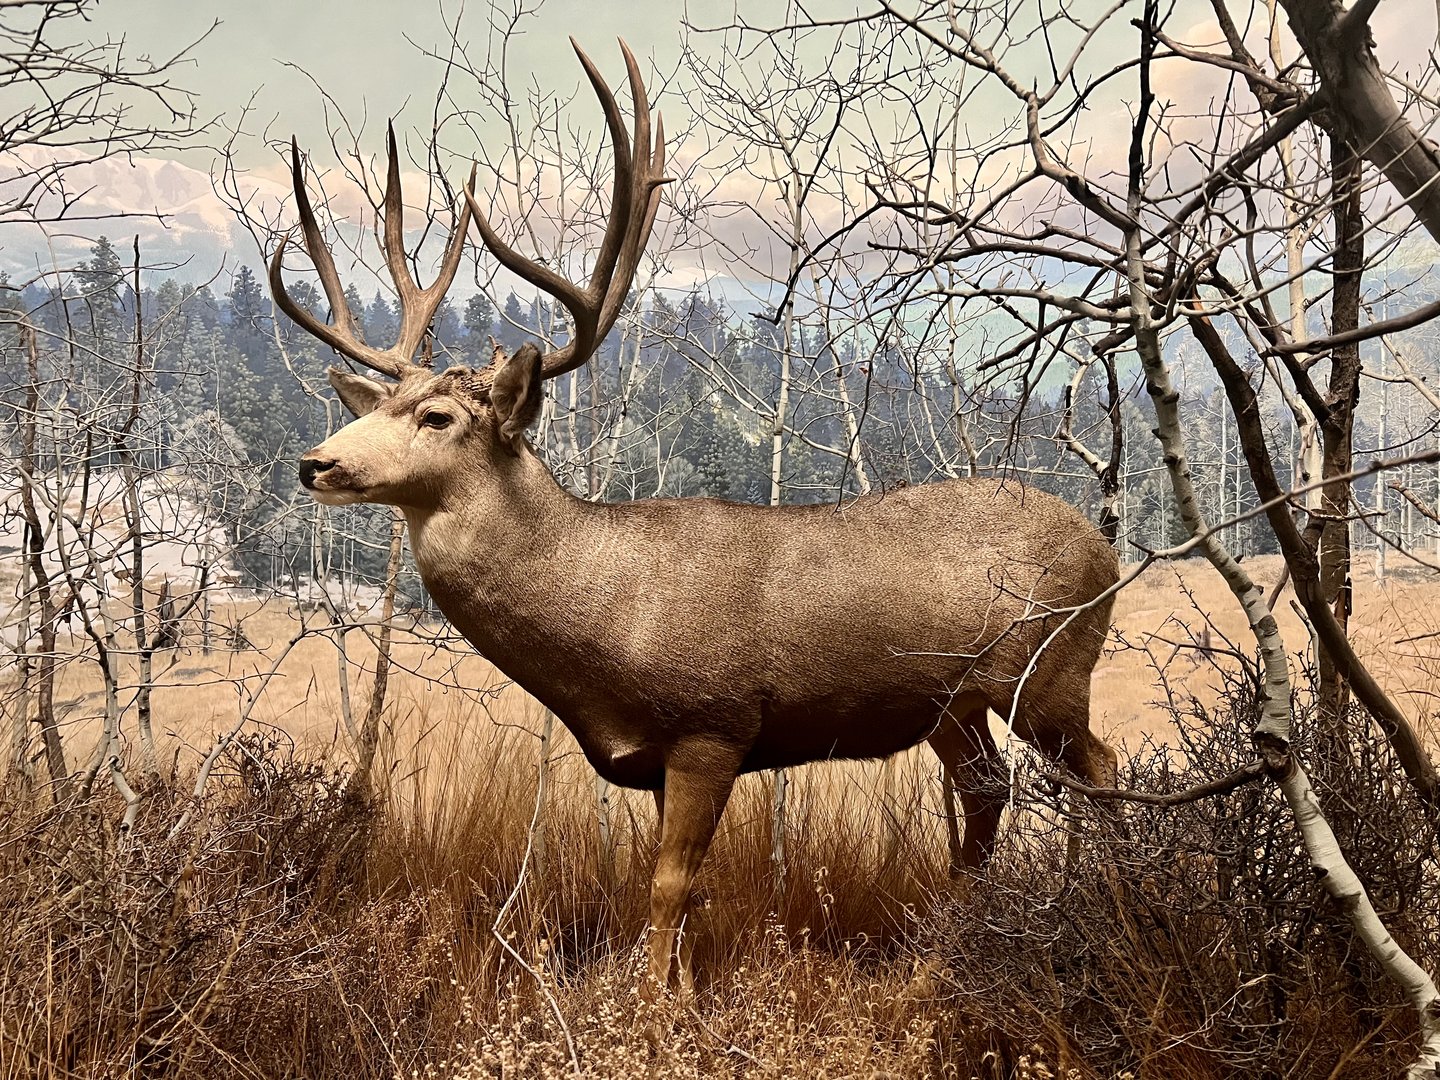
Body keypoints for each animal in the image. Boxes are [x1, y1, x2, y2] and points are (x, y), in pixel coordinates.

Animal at [272, 39, 1120, 1004]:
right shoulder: (647, 758)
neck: (605, 611)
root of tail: (1106, 549)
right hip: (954, 707)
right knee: (988, 794)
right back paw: (945, 955)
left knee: (1103, 774)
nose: (315, 463)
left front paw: (651, 1007)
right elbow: (686, 883)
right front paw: (678, 988)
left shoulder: (714, 723)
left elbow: (671, 883)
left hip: (1052, 671)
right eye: (385, 403)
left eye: (438, 418)